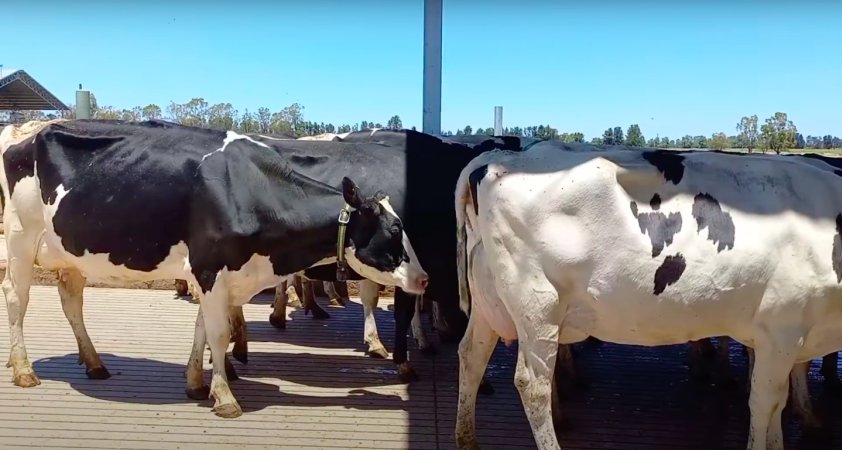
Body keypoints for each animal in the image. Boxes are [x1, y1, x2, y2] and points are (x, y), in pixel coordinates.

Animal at [0, 118, 426, 418]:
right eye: (394, 230)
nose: (424, 278)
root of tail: (26, 129)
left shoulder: (217, 276)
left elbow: (202, 329)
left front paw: (194, 383)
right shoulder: (209, 269)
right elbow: (219, 334)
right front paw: (223, 396)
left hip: (70, 250)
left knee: (71, 300)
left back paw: (94, 363)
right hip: (20, 237)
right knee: (17, 298)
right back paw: (23, 370)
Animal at [452, 146, 842, 448]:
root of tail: (496, 158)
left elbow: (778, 406)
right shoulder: (780, 331)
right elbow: (765, 404)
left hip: (489, 299)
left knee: (471, 356)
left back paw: (467, 441)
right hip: (538, 302)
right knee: (533, 384)